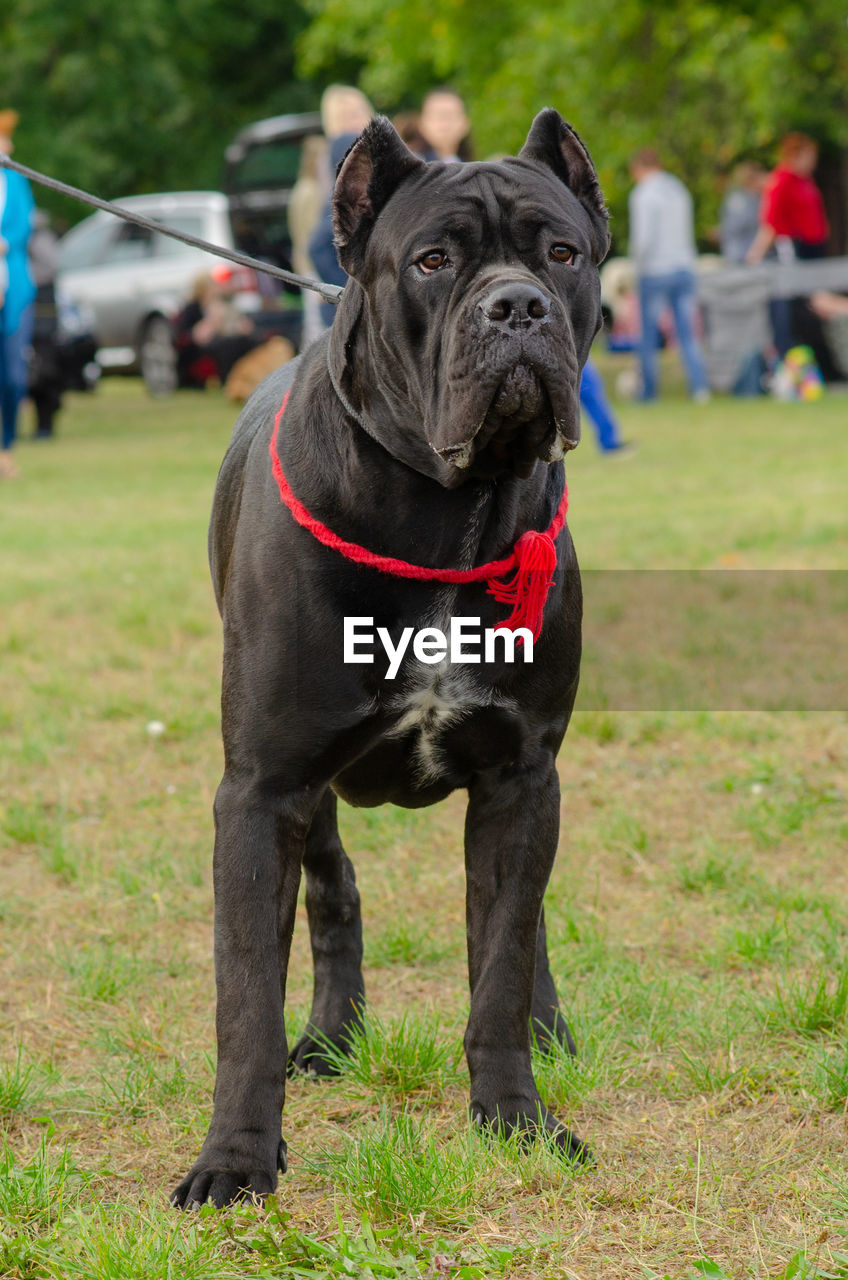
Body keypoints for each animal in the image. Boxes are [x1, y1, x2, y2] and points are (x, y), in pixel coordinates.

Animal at [172, 110, 612, 1208]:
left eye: (561, 253)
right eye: (431, 261)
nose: (516, 305)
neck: (447, 512)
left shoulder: (520, 771)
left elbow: (499, 959)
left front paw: (516, 1114)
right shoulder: (262, 786)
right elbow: (246, 994)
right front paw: (235, 1157)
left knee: (521, 922)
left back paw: (547, 1025)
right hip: (308, 797)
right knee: (335, 891)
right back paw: (330, 1036)